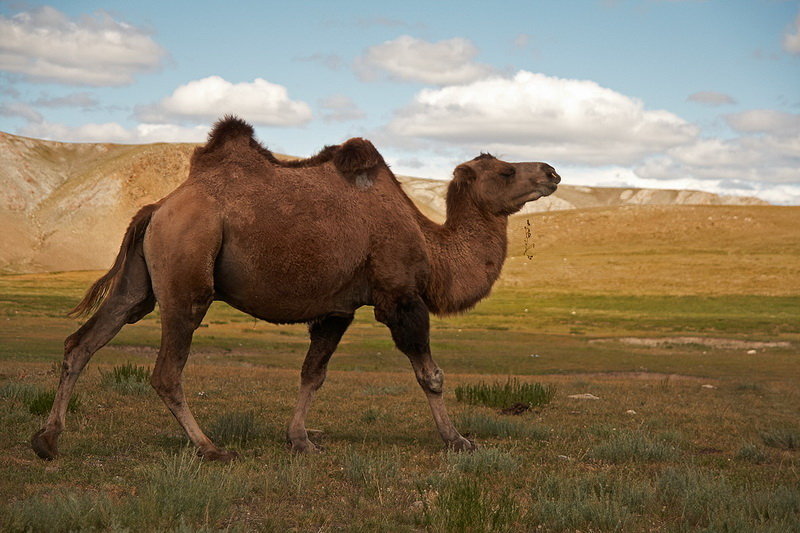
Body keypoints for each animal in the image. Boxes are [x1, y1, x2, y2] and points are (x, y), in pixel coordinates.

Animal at [31, 116, 560, 461]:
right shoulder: (399, 297)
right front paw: (457, 441)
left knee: (83, 341)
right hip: (187, 275)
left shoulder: (338, 308)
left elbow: (313, 374)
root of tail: (157, 207)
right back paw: (210, 448)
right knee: (166, 370)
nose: (552, 171)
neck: (432, 249)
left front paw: (301, 439)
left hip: (140, 284)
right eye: (506, 171)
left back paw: (48, 439)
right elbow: (430, 375)